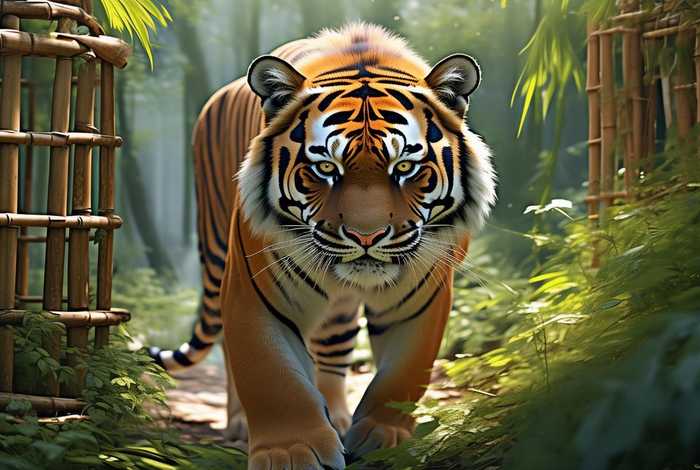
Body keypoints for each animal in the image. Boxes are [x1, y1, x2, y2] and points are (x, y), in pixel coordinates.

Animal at [149, 23, 496, 470]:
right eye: (326, 168)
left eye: (404, 166)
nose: (366, 237)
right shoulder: (254, 289)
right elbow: (272, 373)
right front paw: (290, 451)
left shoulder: (423, 296)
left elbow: (404, 373)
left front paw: (384, 438)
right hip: (214, 248)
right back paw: (242, 423)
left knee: (331, 349)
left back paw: (339, 417)